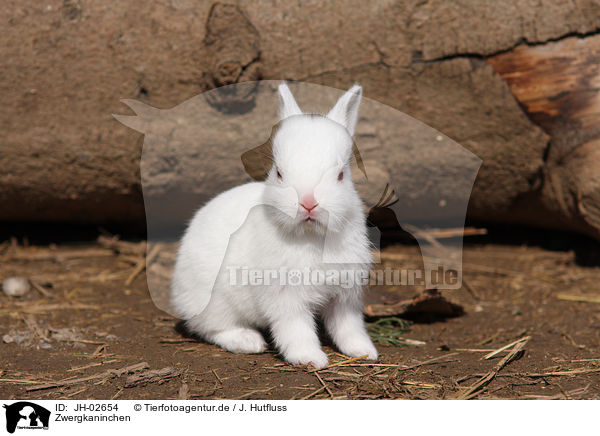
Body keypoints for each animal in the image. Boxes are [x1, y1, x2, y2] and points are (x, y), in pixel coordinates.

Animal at [169, 82, 378, 368]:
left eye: (340, 175)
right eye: (279, 173)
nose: (308, 203)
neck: (311, 236)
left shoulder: (345, 296)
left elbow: (349, 327)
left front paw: (364, 351)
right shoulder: (285, 297)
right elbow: (296, 329)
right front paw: (310, 359)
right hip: (216, 303)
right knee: (209, 327)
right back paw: (248, 341)